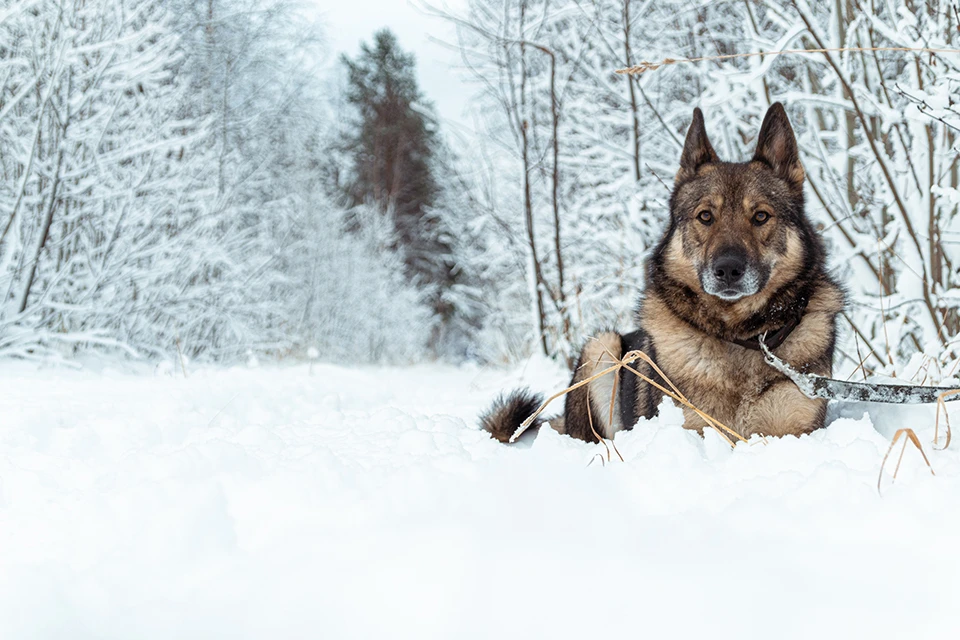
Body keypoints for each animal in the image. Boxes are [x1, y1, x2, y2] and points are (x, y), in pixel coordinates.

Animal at [480, 104, 840, 444]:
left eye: (761, 216)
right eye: (705, 216)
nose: (728, 270)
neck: (738, 336)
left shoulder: (795, 429)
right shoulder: (691, 427)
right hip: (602, 346)